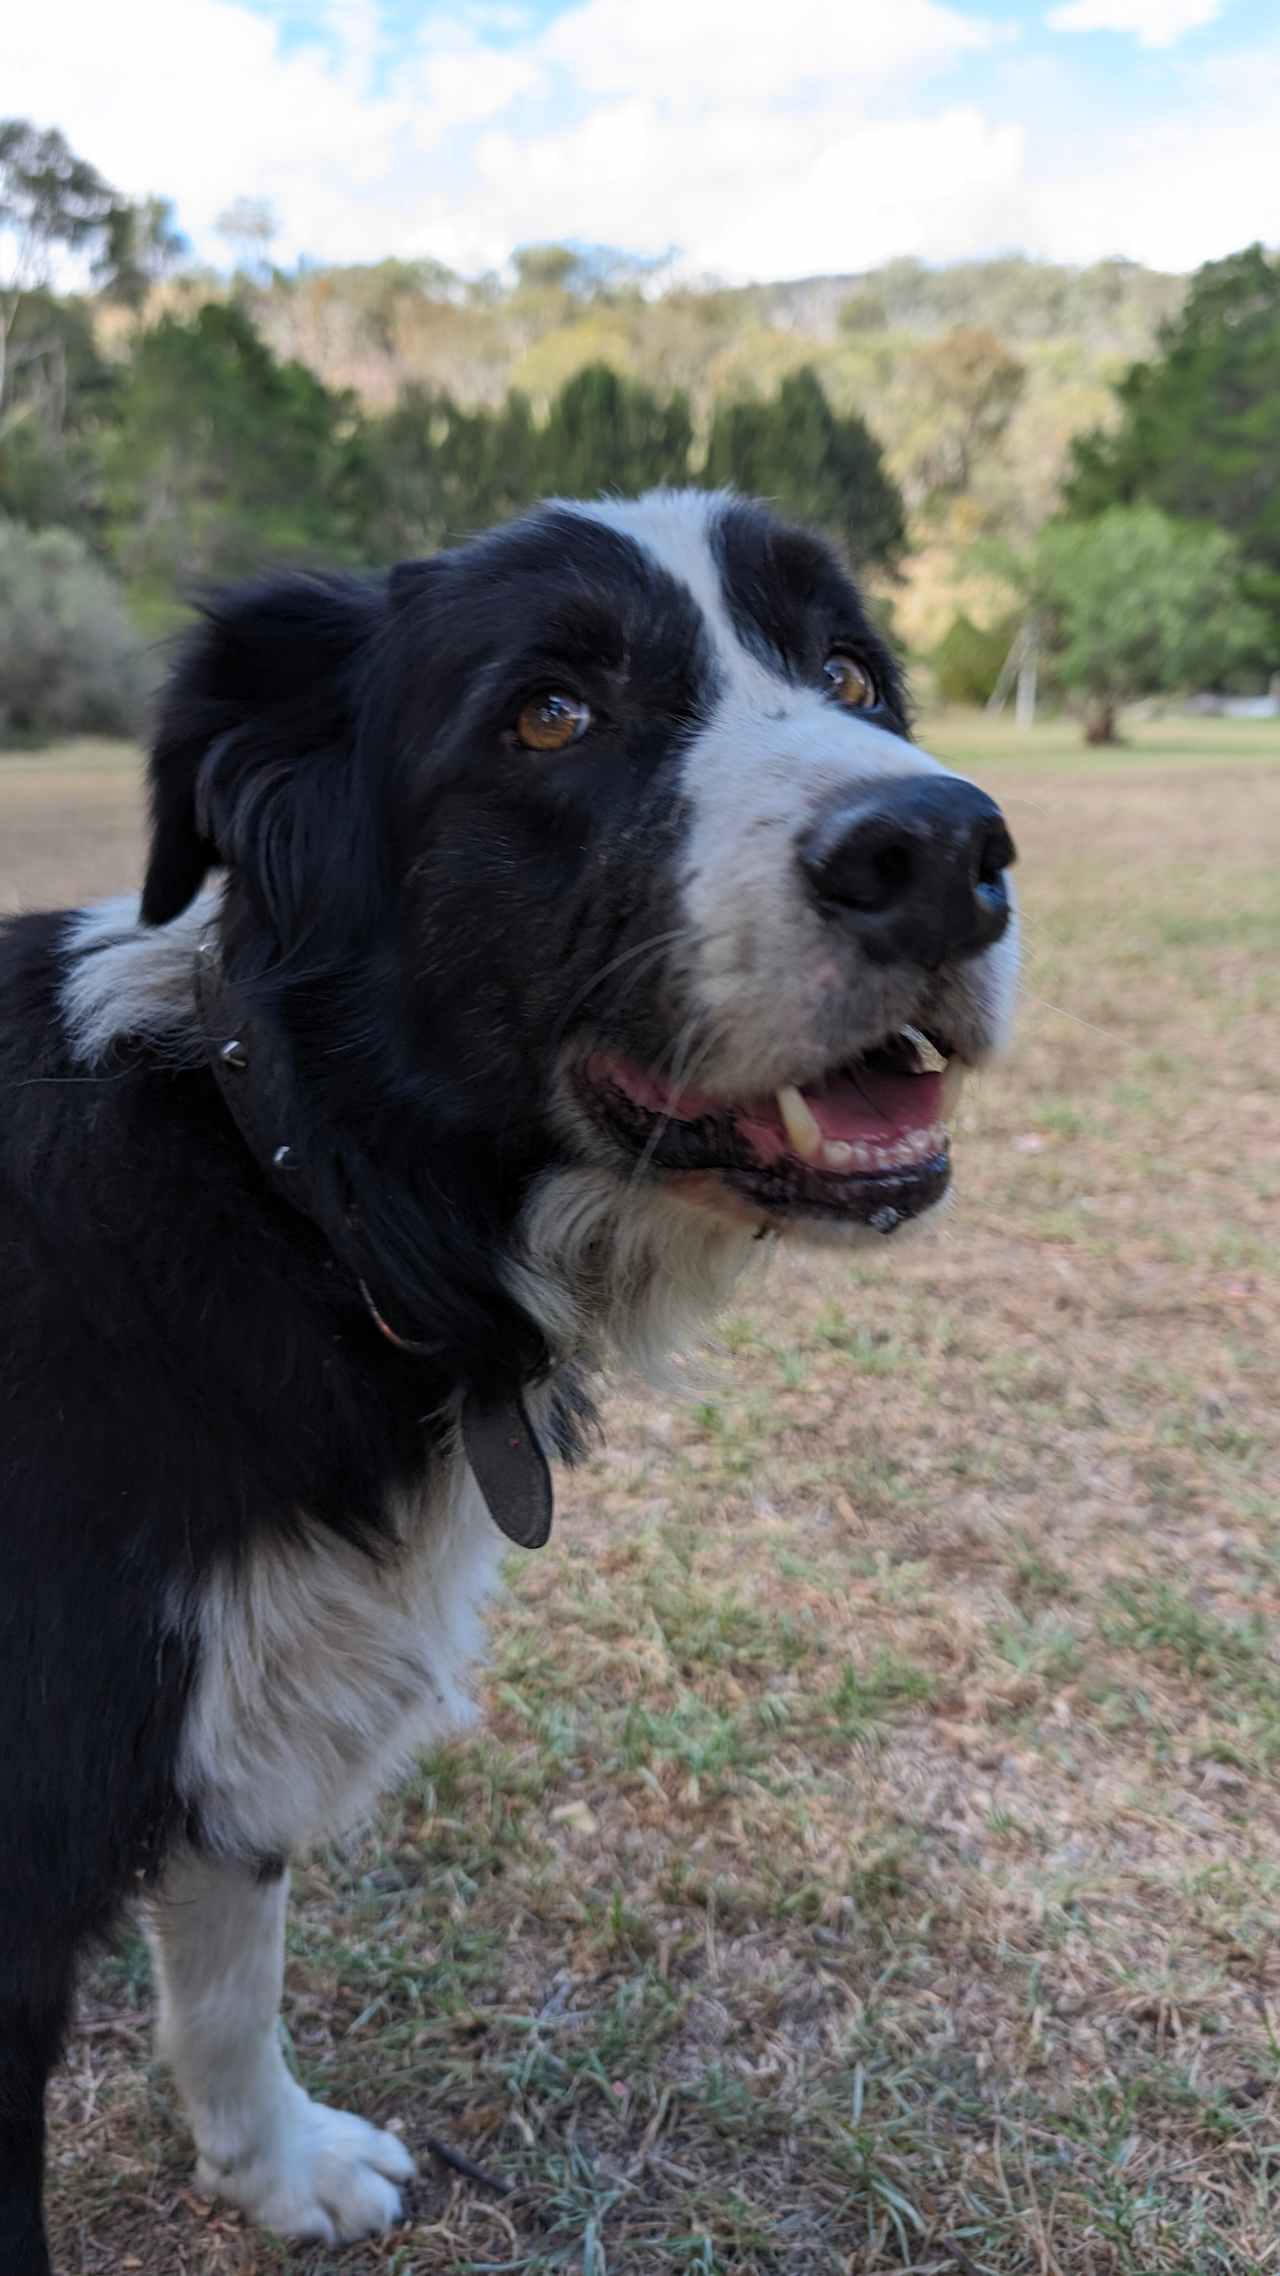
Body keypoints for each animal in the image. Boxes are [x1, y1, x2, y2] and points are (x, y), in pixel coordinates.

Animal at [0, 489, 1015, 2266]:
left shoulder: (251, 1708)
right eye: (550, 715)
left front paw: (278, 2170)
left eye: (850, 674)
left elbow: (231, 1967)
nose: (951, 857)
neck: (302, 1190)